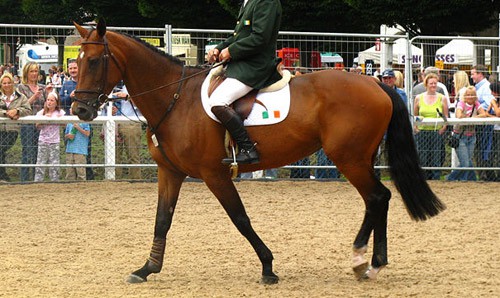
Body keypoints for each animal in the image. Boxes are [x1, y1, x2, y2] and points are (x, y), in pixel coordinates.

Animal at [70, 19, 446, 286]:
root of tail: (376, 83)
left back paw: (364, 261)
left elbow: (240, 218)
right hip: (358, 158)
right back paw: (367, 263)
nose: (80, 110)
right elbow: (162, 220)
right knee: (376, 199)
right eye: (77, 62)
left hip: (349, 158)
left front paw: (267, 267)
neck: (175, 99)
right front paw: (147, 268)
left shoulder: (215, 174)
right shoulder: (170, 172)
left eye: (95, 61)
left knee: (377, 197)